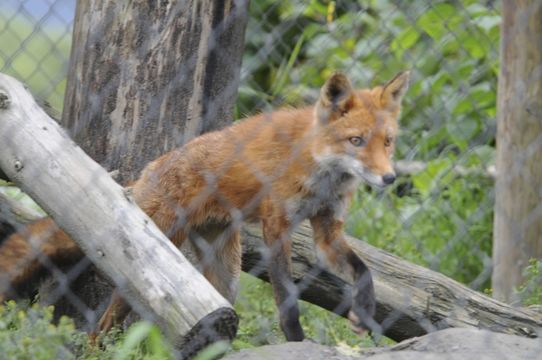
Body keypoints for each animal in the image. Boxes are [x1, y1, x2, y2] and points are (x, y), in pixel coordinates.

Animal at [0, 69, 408, 340]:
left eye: (387, 142)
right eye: (356, 141)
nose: (389, 178)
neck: (320, 170)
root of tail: (142, 176)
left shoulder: (327, 229)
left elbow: (364, 273)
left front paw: (365, 314)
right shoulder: (277, 225)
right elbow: (287, 301)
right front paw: (297, 342)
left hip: (224, 280)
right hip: (152, 264)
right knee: (103, 326)